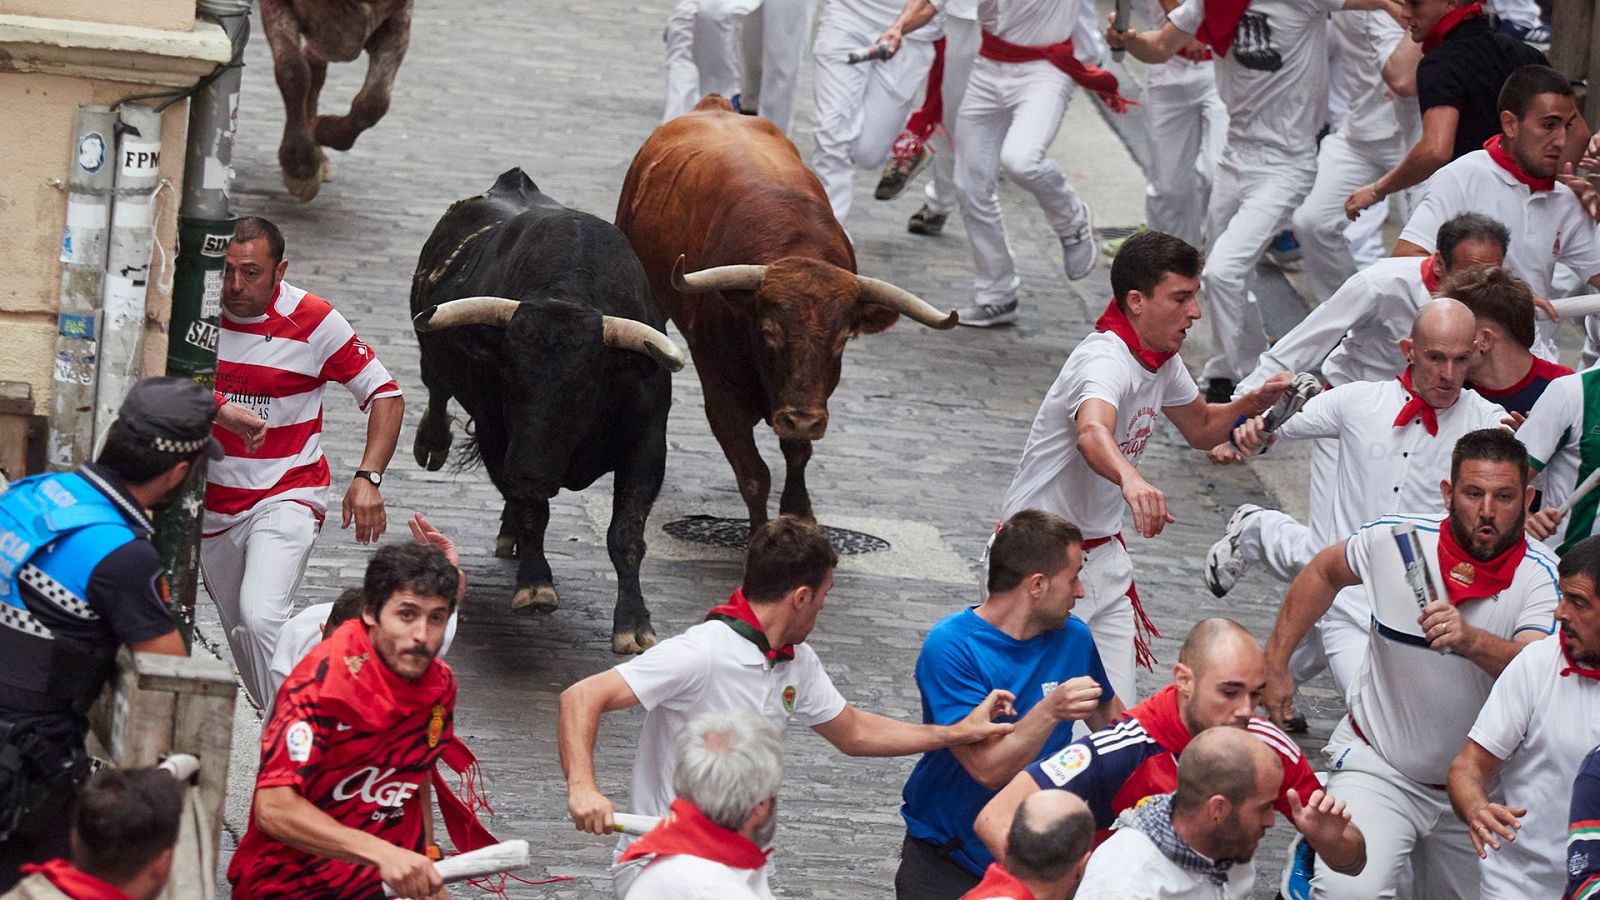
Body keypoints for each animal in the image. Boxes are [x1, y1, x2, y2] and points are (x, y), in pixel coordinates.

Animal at [259, 0, 409, 197]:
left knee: (315, 65)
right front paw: (300, 166)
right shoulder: (276, 7)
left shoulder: (397, 19)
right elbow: (293, 70)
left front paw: (320, 128)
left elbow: (374, 101)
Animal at [406, 168, 681, 650]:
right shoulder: (499, 437)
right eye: (508, 373)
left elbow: (627, 534)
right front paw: (535, 585)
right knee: (437, 390)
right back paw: (433, 445)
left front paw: (634, 624)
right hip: (435, 362)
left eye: (585, 386)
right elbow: (534, 509)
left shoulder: (647, 444)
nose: (529, 470)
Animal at [617, 94, 953, 522]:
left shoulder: (811, 401)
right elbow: (754, 474)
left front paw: (798, 513)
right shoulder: (721, 397)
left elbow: (797, 453)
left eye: (843, 339)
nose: (802, 420)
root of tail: (715, 106)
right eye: (768, 331)